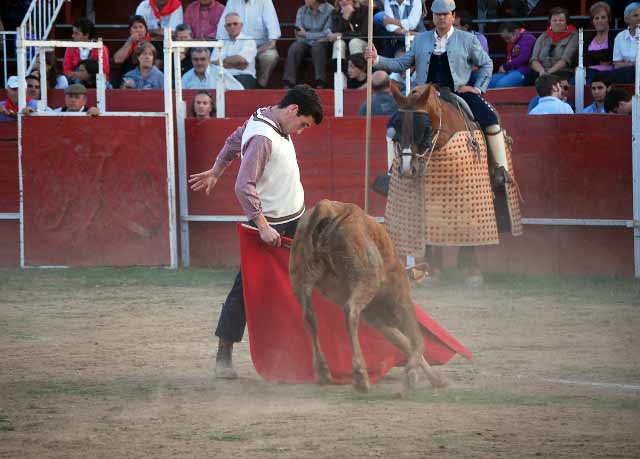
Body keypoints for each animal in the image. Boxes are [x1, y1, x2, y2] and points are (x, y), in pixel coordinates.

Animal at [288, 199, 448, 394]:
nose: (392, 319)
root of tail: (325, 207)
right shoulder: (401, 301)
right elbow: (417, 340)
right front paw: (412, 374)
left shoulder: (375, 319)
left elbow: (404, 342)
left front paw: (436, 379)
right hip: (366, 278)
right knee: (350, 311)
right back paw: (360, 376)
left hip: (301, 280)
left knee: (309, 318)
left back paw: (322, 372)